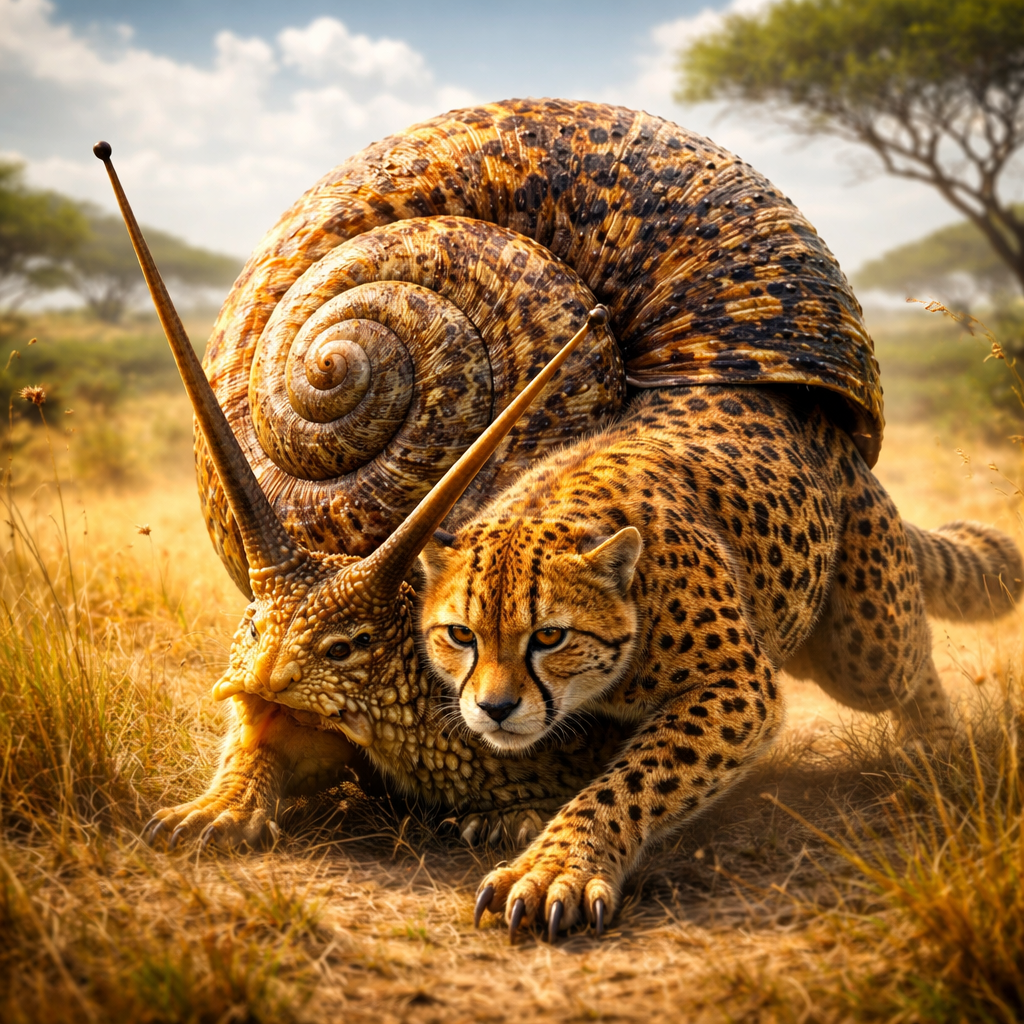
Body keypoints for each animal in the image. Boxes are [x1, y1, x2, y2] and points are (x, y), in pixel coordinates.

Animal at [418, 384, 1022, 941]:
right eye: (461, 635)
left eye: (549, 636)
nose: (495, 709)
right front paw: (509, 815)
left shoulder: (742, 684)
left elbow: (632, 780)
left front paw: (556, 867)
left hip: (869, 650)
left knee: (910, 656)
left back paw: (937, 745)